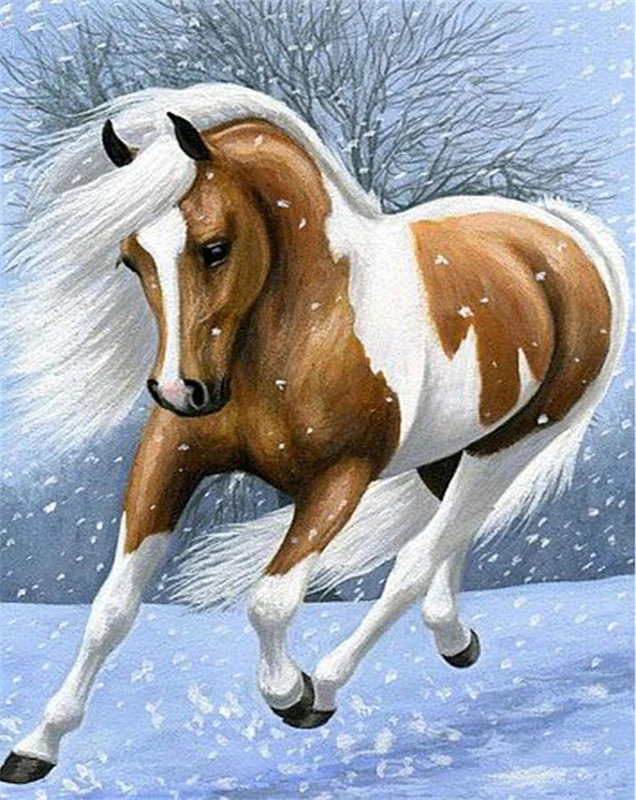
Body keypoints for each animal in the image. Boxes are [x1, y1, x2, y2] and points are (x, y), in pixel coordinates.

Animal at [0, 83, 628, 785]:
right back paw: (453, 640)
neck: (303, 328)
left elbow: (270, 599)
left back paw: (327, 684)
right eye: (131, 258)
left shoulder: (338, 478)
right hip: (447, 454)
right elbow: (111, 610)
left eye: (214, 247)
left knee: (414, 562)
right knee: (448, 543)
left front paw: (290, 693)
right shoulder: (169, 456)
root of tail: (565, 233)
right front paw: (36, 746)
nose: (179, 392)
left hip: (512, 444)